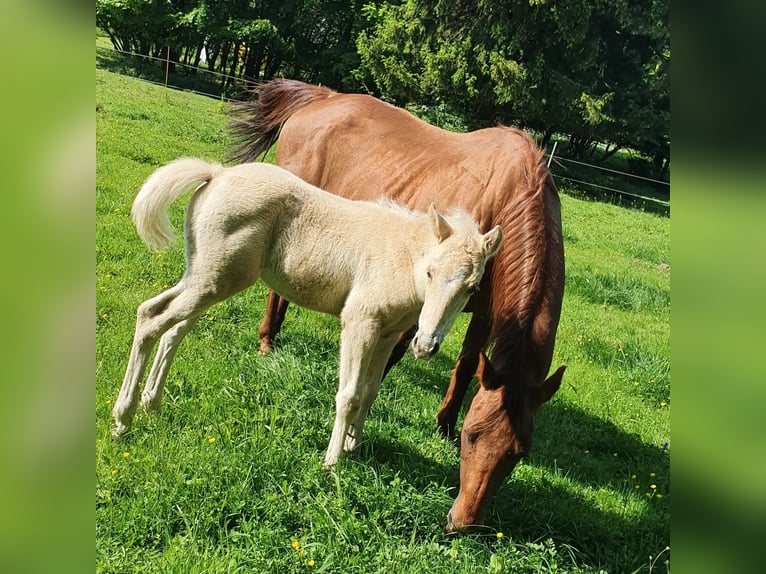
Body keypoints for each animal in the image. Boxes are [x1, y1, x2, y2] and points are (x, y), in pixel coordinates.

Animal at [109, 159, 504, 468]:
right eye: (430, 273)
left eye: (472, 289)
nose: (425, 347)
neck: (401, 256)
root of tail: (218, 173)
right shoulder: (359, 324)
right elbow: (350, 393)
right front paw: (332, 462)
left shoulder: (387, 335)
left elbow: (371, 392)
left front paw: (354, 446)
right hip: (214, 281)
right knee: (151, 317)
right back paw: (123, 419)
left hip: (208, 279)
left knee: (173, 330)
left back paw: (151, 406)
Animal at [231, 79, 568, 532]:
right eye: (472, 437)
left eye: (518, 453)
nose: (464, 523)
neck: (507, 198)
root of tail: (324, 97)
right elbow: (380, 367)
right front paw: (350, 437)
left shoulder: (483, 314)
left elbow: (466, 366)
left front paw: (442, 423)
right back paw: (267, 340)